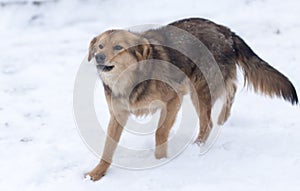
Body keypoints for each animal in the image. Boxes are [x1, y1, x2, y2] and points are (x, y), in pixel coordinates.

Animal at [84, 17, 298, 181]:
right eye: (100, 46)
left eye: (118, 47)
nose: (99, 56)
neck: (130, 80)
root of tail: (225, 31)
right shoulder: (118, 114)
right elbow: (108, 148)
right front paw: (98, 172)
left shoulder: (173, 99)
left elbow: (160, 133)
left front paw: (160, 162)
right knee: (231, 90)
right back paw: (223, 117)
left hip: (199, 90)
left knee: (208, 122)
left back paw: (197, 146)